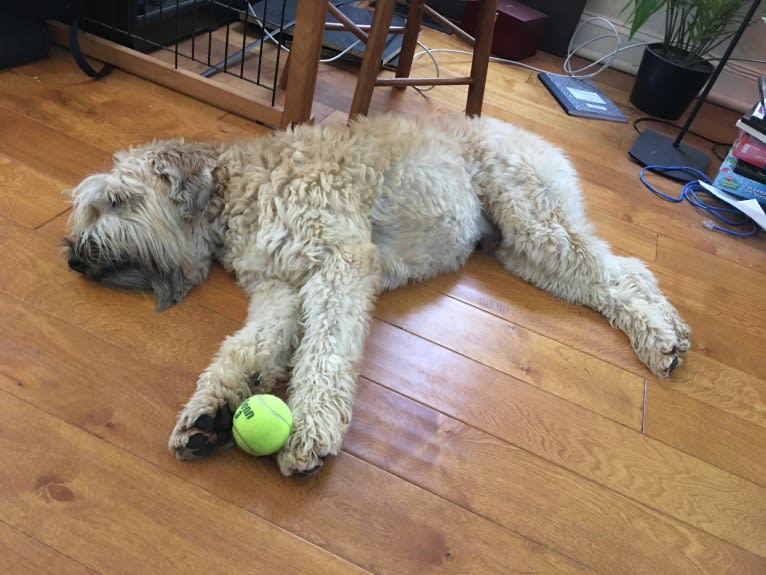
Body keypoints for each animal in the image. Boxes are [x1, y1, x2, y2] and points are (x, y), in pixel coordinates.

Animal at [64, 113, 688, 476]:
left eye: (117, 200)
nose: (73, 256)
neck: (237, 193)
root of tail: (522, 131)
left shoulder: (339, 262)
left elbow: (325, 352)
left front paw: (311, 429)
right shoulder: (278, 288)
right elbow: (245, 348)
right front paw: (209, 414)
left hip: (534, 220)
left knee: (620, 272)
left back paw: (662, 337)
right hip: (524, 251)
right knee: (614, 276)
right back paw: (665, 333)